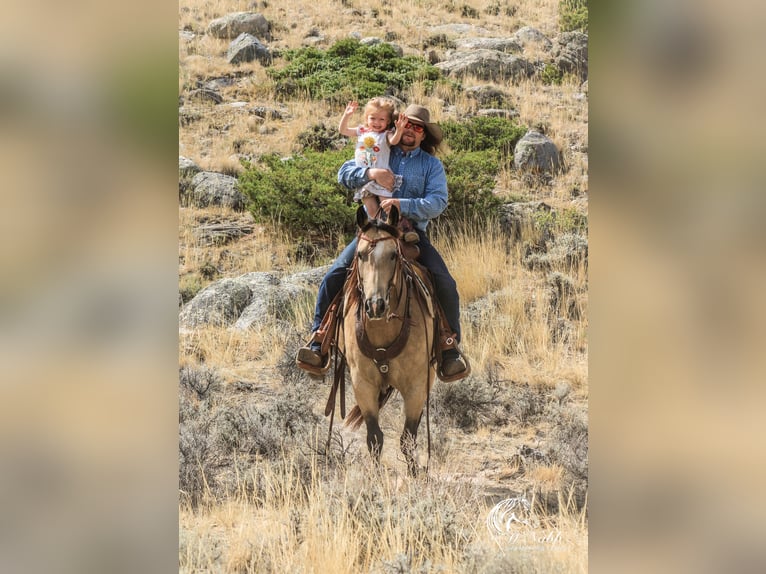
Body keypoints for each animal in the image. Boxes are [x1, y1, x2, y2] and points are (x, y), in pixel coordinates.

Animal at [328, 206, 438, 476]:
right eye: (359, 255)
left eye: (393, 255)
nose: (376, 305)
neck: (382, 330)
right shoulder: (363, 383)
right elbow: (374, 438)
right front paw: (375, 478)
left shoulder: (416, 385)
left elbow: (408, 438)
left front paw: (415, 476)